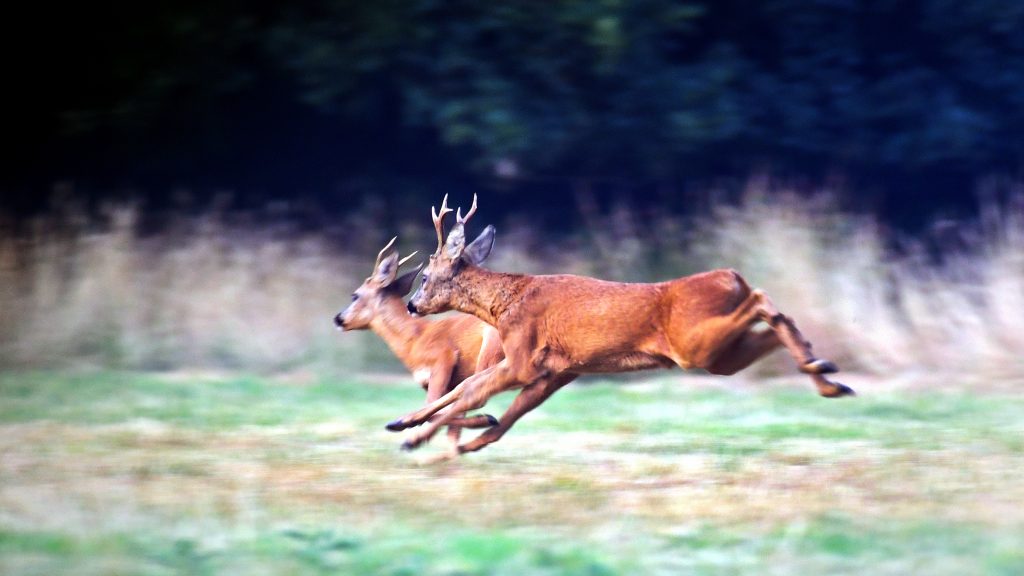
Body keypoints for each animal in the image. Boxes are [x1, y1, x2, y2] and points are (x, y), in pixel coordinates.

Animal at [333, 235, 505, 455]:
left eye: (355, 295)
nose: (338, 318)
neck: (414, 339)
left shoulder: (443, 357)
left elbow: (435, 407)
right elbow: (448, 419)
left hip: (490, 352)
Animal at [387, 194, 851, 455]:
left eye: (425, 277)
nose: (411, 305)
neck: (506, 305)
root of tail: (732, 278)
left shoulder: (524, 358)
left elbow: (469, 391)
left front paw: (411, 434)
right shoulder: (558, 371)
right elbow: (496, 411)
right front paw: (430, 433)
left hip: (693, 344)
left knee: (764, 303)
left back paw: (820, 368)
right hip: (720, 355)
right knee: (773, 325)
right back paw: (827, 376)